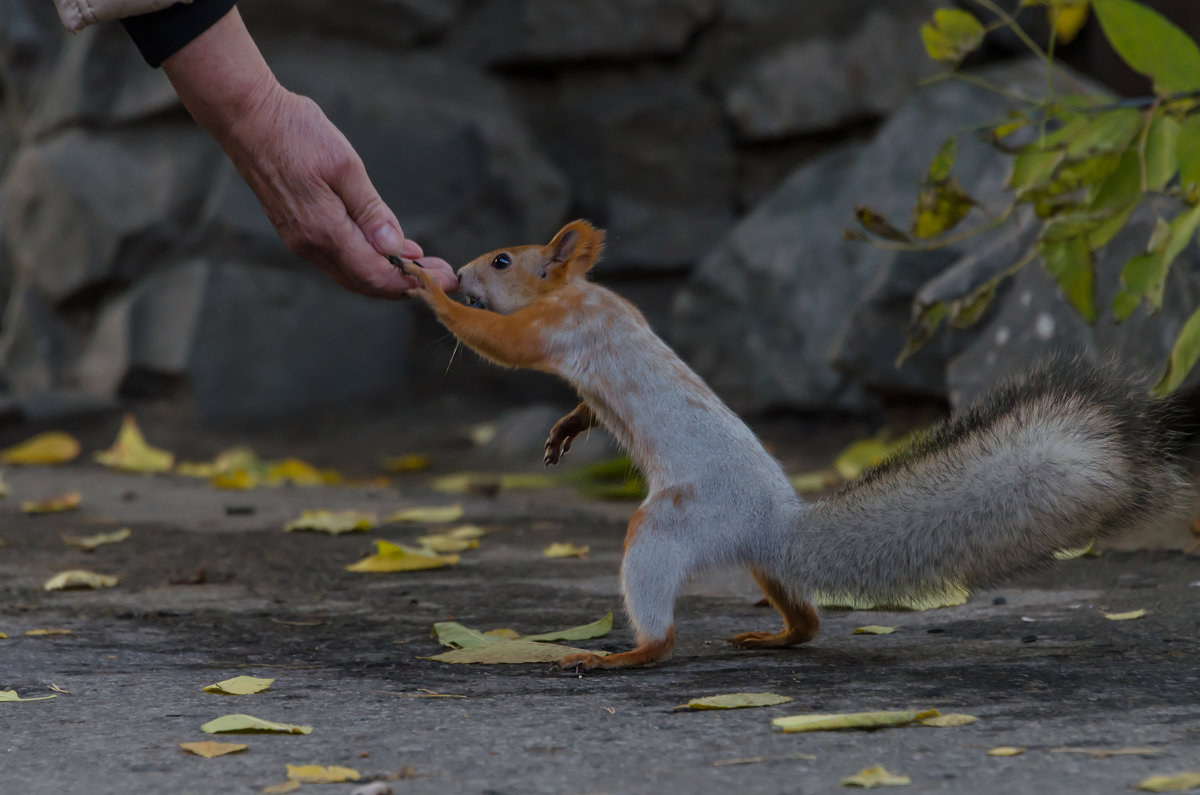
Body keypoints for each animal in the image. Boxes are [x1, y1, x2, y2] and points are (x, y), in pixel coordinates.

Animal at [393, 219, 1190, 672]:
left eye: (502, 261)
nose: (460, 271)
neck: (579, 292)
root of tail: (774, 521)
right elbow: (584, 402)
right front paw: (567, 428)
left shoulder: (556, 328)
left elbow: (500, 341)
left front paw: (429, 292)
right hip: (757, 559)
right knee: (806, 618)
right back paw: (775, 637)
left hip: (670, 524)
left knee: (662, 628)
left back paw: (625, 654)